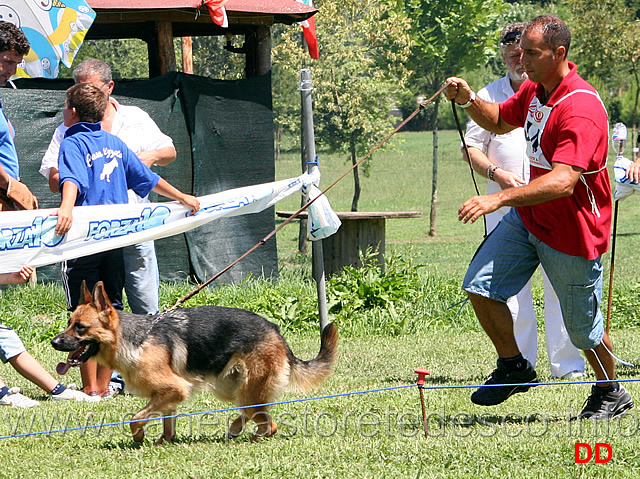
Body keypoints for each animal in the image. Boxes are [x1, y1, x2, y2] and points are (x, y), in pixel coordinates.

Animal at [50, 282, 338, 446]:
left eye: (80, 327)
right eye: (69, 323)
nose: (54, 342)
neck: (135, 340)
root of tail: (276, 331)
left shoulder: (174, 388)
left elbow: (135, 418)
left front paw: (139, 437)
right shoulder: (167, 396)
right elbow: (167, 421)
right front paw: (164, 441)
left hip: (247, 390)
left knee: (268, 423)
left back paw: (249, 436)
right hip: (231, 388)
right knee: (259, 417)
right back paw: (236, 430)